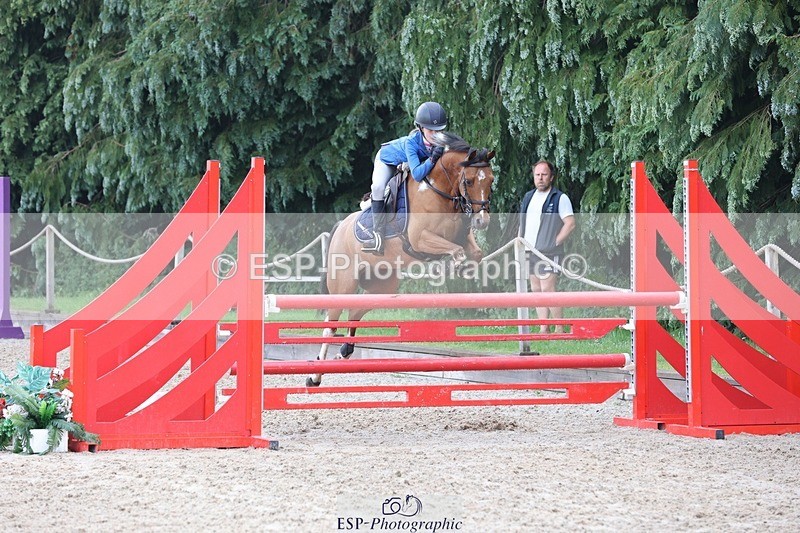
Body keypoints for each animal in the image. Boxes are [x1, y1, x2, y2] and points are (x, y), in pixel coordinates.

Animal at [308, 131, 496, 386]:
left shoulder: (461, 235)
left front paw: (464, 270)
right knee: (331, 325)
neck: (441, 192)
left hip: (382, 286)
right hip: (343, 284)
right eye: (468, 181)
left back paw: (344, 352)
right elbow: (456, 250)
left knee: (355, 311)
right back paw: (314, 375)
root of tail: (340, 228)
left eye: (491, 181)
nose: (482, 222)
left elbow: (475, 253)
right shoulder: (420, 239)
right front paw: (455, 267)